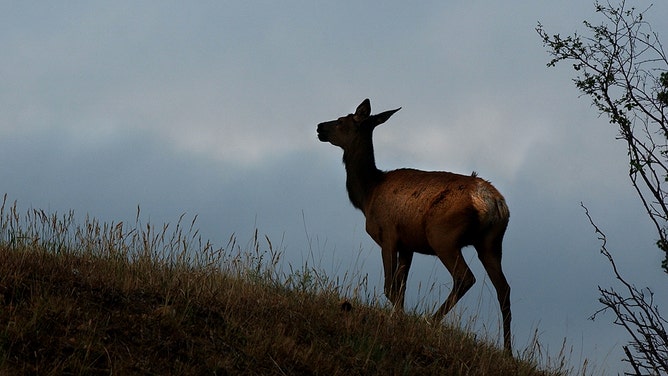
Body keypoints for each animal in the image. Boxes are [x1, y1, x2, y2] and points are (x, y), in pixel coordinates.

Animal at [318, 98, 512, 352]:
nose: (319, 127)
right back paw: (508, 351)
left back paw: (430, 321)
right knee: (504, 289)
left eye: (341, 121)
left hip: (442, 236)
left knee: (465, 278)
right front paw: (397, 320)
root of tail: (492, 202)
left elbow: (389, 287)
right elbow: (401, 288)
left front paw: (400, 320)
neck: (367, 195)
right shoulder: (407, 246)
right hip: (491, 243)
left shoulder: (388, 235)